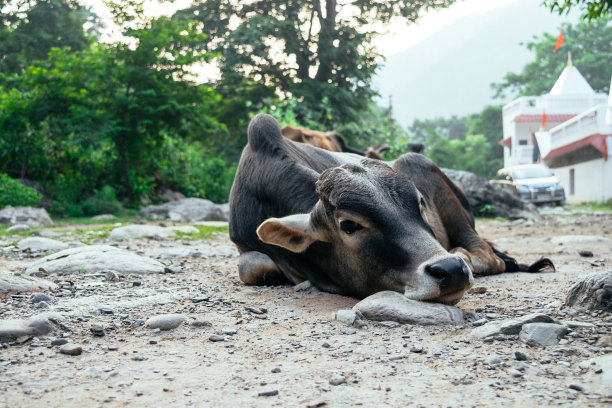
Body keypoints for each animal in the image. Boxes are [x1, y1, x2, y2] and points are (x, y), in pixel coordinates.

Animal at [227, 113, 552, 304]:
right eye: (349, 225)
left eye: (420, 203)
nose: (450, 270)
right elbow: (254, 266)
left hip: (419, 168)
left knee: (488, 255)